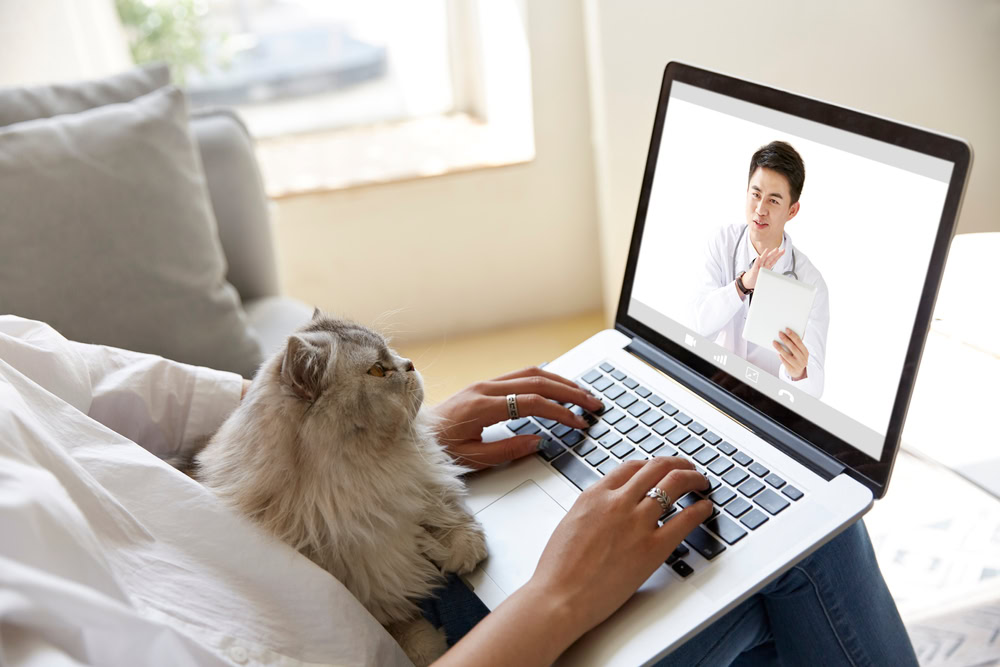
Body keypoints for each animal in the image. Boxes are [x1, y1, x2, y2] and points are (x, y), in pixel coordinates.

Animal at [186, 314, 490, 667]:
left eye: (393, 354)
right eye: (378, 371)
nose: (409, 364)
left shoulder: (418, 488)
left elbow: (447, 516)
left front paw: (456, 547)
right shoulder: (372, 593)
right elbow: (404, 630)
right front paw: (434, 647)